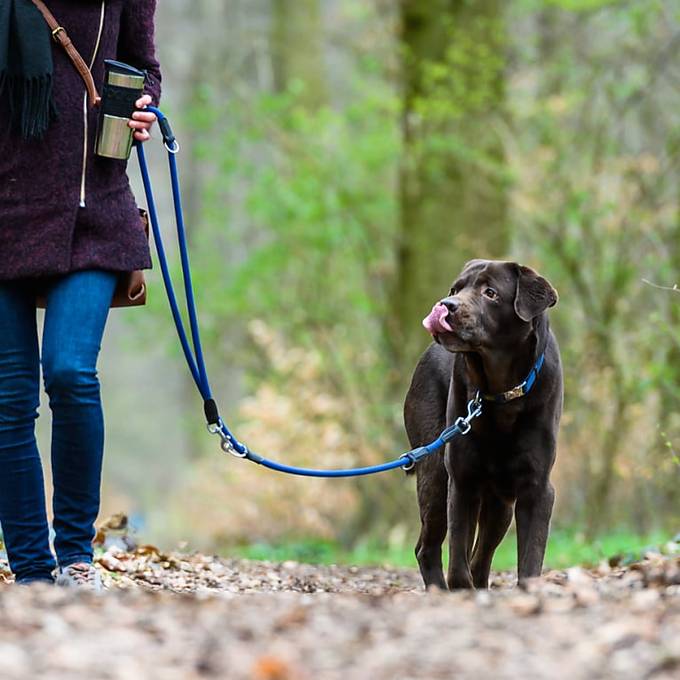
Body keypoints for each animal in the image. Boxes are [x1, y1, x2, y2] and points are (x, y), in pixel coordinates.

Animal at [404, 260, 564, 588]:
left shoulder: (537, 487)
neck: (502, 393)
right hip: (436, 474)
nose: (446, 305)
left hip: (500, 503)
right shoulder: (461, 480)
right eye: (456, 288)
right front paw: (460, 588)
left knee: (480, 556)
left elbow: (530, 559)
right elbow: (457, 562)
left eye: (490, 293)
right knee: (429, 548)